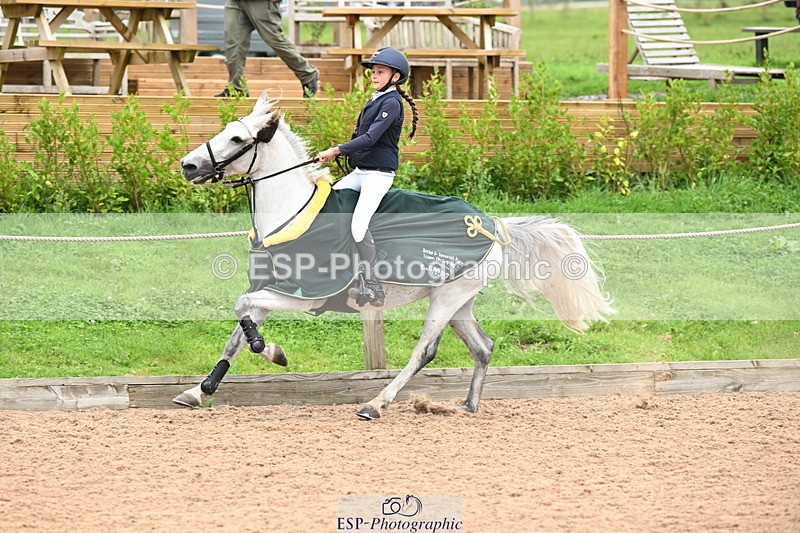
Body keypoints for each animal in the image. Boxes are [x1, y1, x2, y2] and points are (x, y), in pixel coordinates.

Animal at [175, 92, 615, 419]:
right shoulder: (271, 290)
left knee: (425, 351)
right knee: (483, 347)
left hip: (447, 298)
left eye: (237, 140)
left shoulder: (304, 294)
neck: (292, 213)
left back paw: (375, 404)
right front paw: (199, 390)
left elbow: (242, 310)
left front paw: (273, 352)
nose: (188, 165)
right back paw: (468, 405)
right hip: (459, 300)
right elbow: (236, 332)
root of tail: (492, 224)